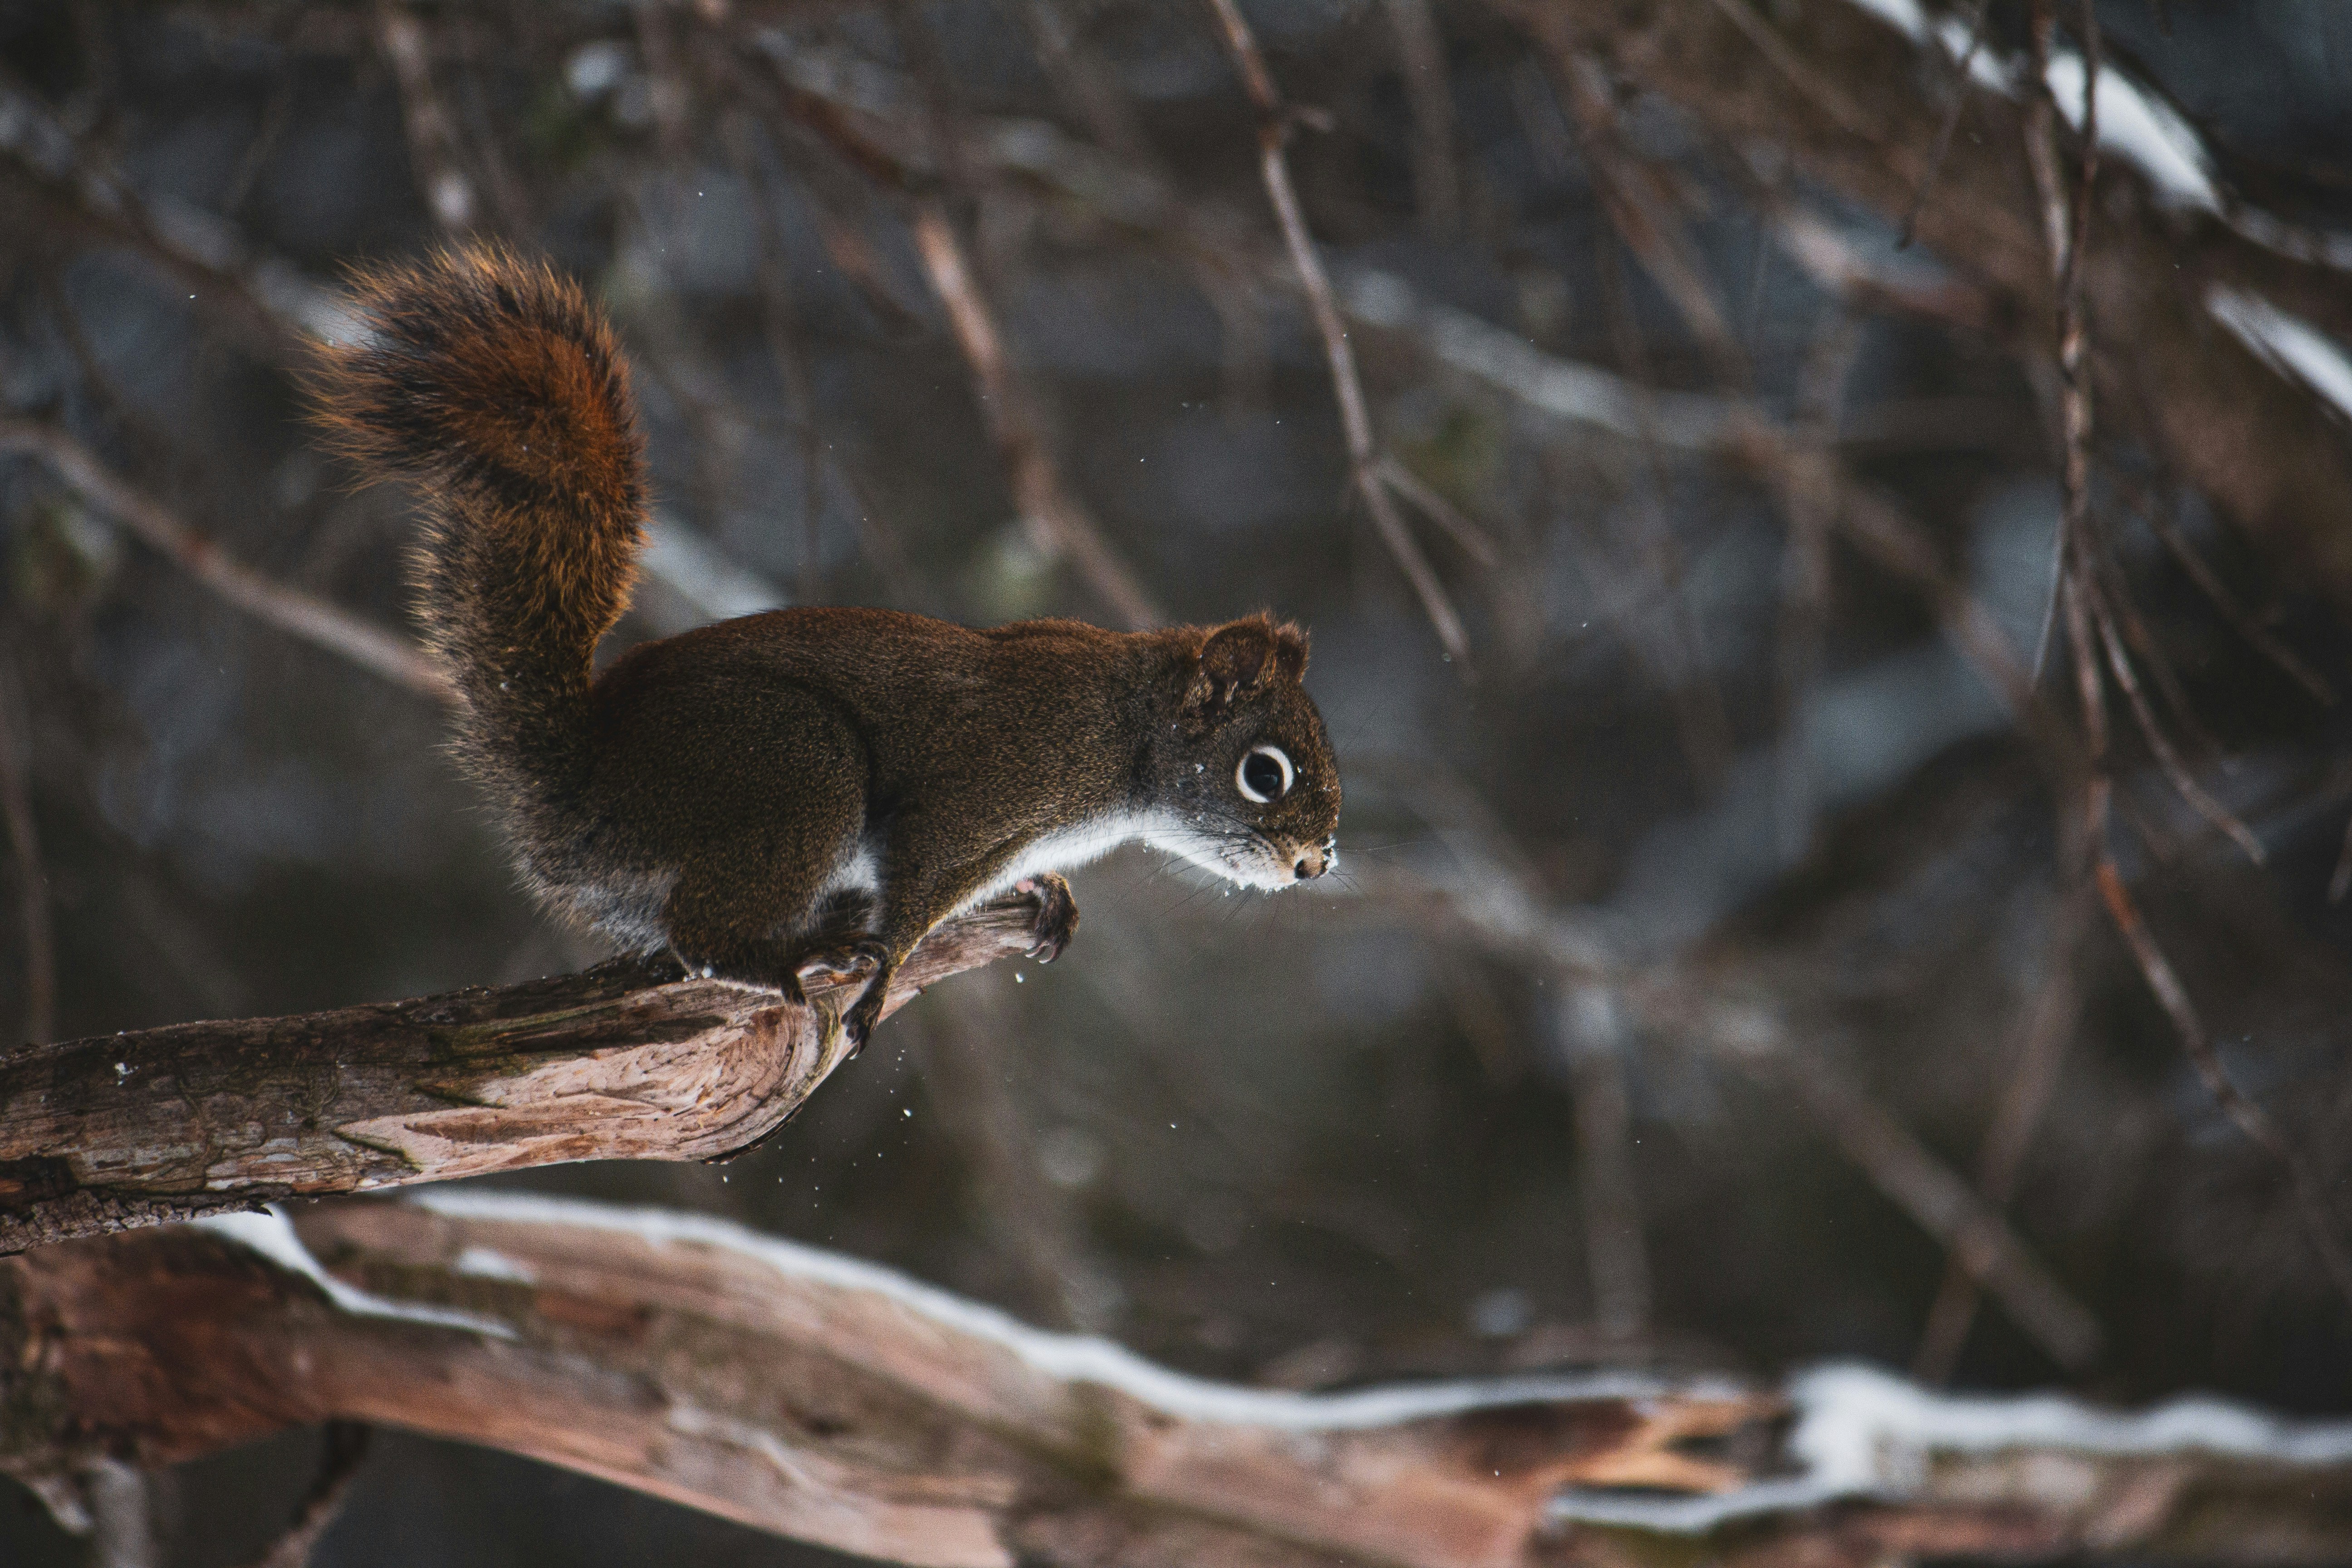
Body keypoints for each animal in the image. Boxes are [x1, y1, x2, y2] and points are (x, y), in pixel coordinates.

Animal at [308, 245, 1340, 1052]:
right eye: (1265, 773)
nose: (1316, 866)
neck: (1123, 739)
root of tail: (577, 784)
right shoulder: (983, 787)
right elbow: (917, 887)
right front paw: (886, 974)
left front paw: (1049, 892)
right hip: (794, 768)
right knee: (704, 933)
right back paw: (799, 956)